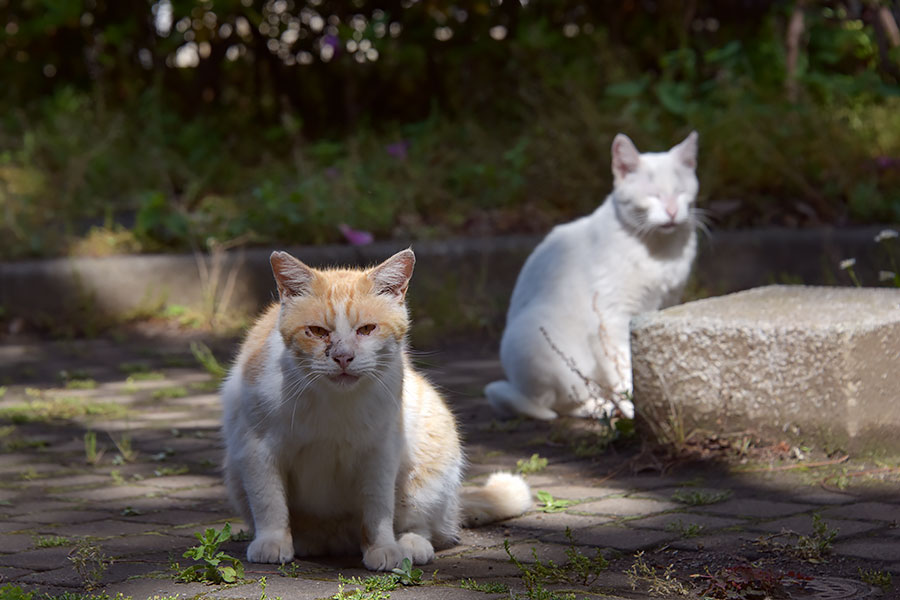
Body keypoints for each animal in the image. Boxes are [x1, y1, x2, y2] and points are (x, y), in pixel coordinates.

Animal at [222, 248, 532, 572]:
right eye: (317, 332)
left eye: (367, 329)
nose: (343, 357)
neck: (334, 402)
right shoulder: (256, 448)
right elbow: (269, 502)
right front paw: (272, 542)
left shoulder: (380, 452)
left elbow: (378, 507)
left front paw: (383, 548)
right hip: (234, 471)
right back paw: (307, 541)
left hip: (428, 472)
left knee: (426, 526)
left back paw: (411, 544)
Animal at [486, 133, 704, 420]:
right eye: (653, 195)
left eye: (679, 193)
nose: (671, 211)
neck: (660, 251)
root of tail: (518, 388)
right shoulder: (613, 318)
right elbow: (625, 365)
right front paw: (633, 407)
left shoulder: (663, 303)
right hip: (543, 343)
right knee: (560, 402)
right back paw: (602, 407)